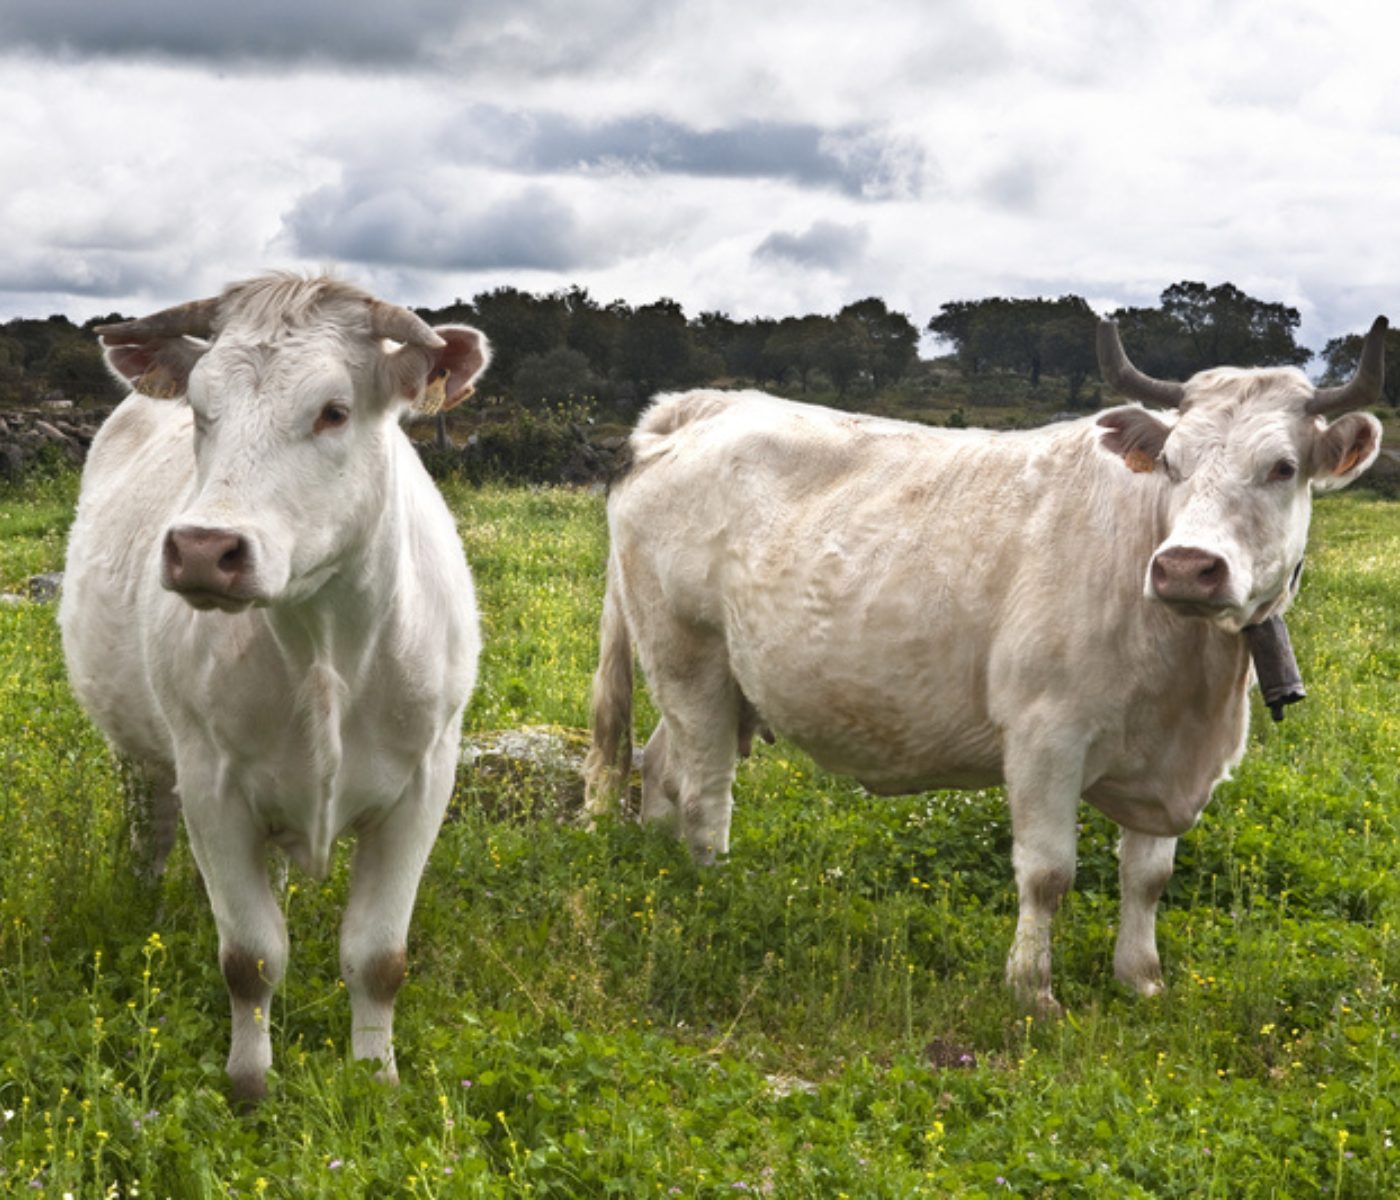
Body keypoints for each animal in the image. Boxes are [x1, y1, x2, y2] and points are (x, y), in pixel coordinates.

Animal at [61, 274, 492, 1103]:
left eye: (334, 410)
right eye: (201, 408)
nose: (204, 549)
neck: (324, 644)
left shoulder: (425, 782)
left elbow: (379, 958)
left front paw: (376, 1081)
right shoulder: (211, 786)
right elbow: (251, 956)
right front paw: (249, 1086)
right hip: (143, 753)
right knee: (148, 826)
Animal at [582, 316, 1388, 1013]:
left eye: (1282, 467)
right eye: (1171, 464)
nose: (1187, 566)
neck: (1191, 682)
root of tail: (701, 408)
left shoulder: (1169, 759)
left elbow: (1149, 877)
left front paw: (1141, 979)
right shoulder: (1044, 736)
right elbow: (1048, 872)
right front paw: (1032, 990)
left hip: (719, 680)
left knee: (663, 765)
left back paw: (659, 868)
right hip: (687, 657)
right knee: (703, 789)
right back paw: (714, 890)